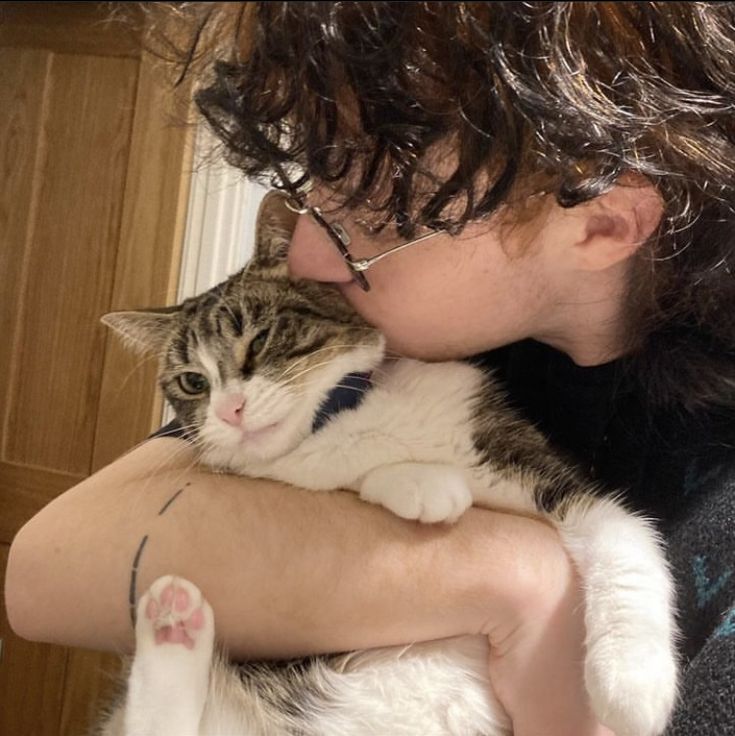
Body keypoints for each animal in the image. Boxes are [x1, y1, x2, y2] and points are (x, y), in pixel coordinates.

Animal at [96, 191, 680, 736]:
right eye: (193, 382)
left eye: (259, 341)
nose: (229, 410)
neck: (342, 421)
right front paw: (425, 485)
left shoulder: (518, 452)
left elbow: (617, 532)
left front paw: (632, 685)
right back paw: (172, 624)